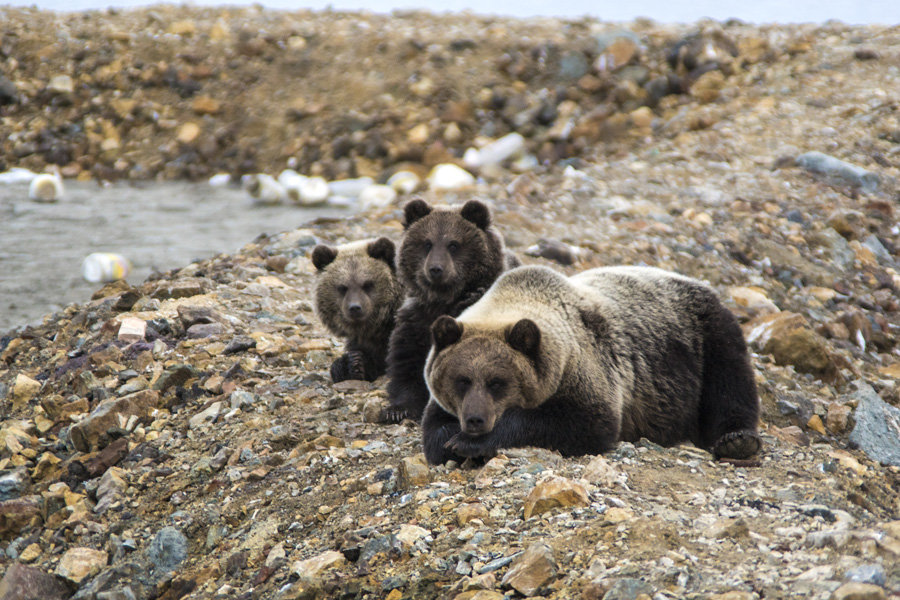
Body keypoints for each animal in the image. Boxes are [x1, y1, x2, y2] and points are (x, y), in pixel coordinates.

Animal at [422, 264, 760, 466]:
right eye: (462, 380)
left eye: (497, 382)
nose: (475, 420)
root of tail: (698, 281)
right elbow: (433, 433)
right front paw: (453, 441)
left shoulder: (588, 368)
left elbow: (585, 422)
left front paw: (469, 444)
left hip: (701, 335)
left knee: (729, 380)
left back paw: (737, 440)